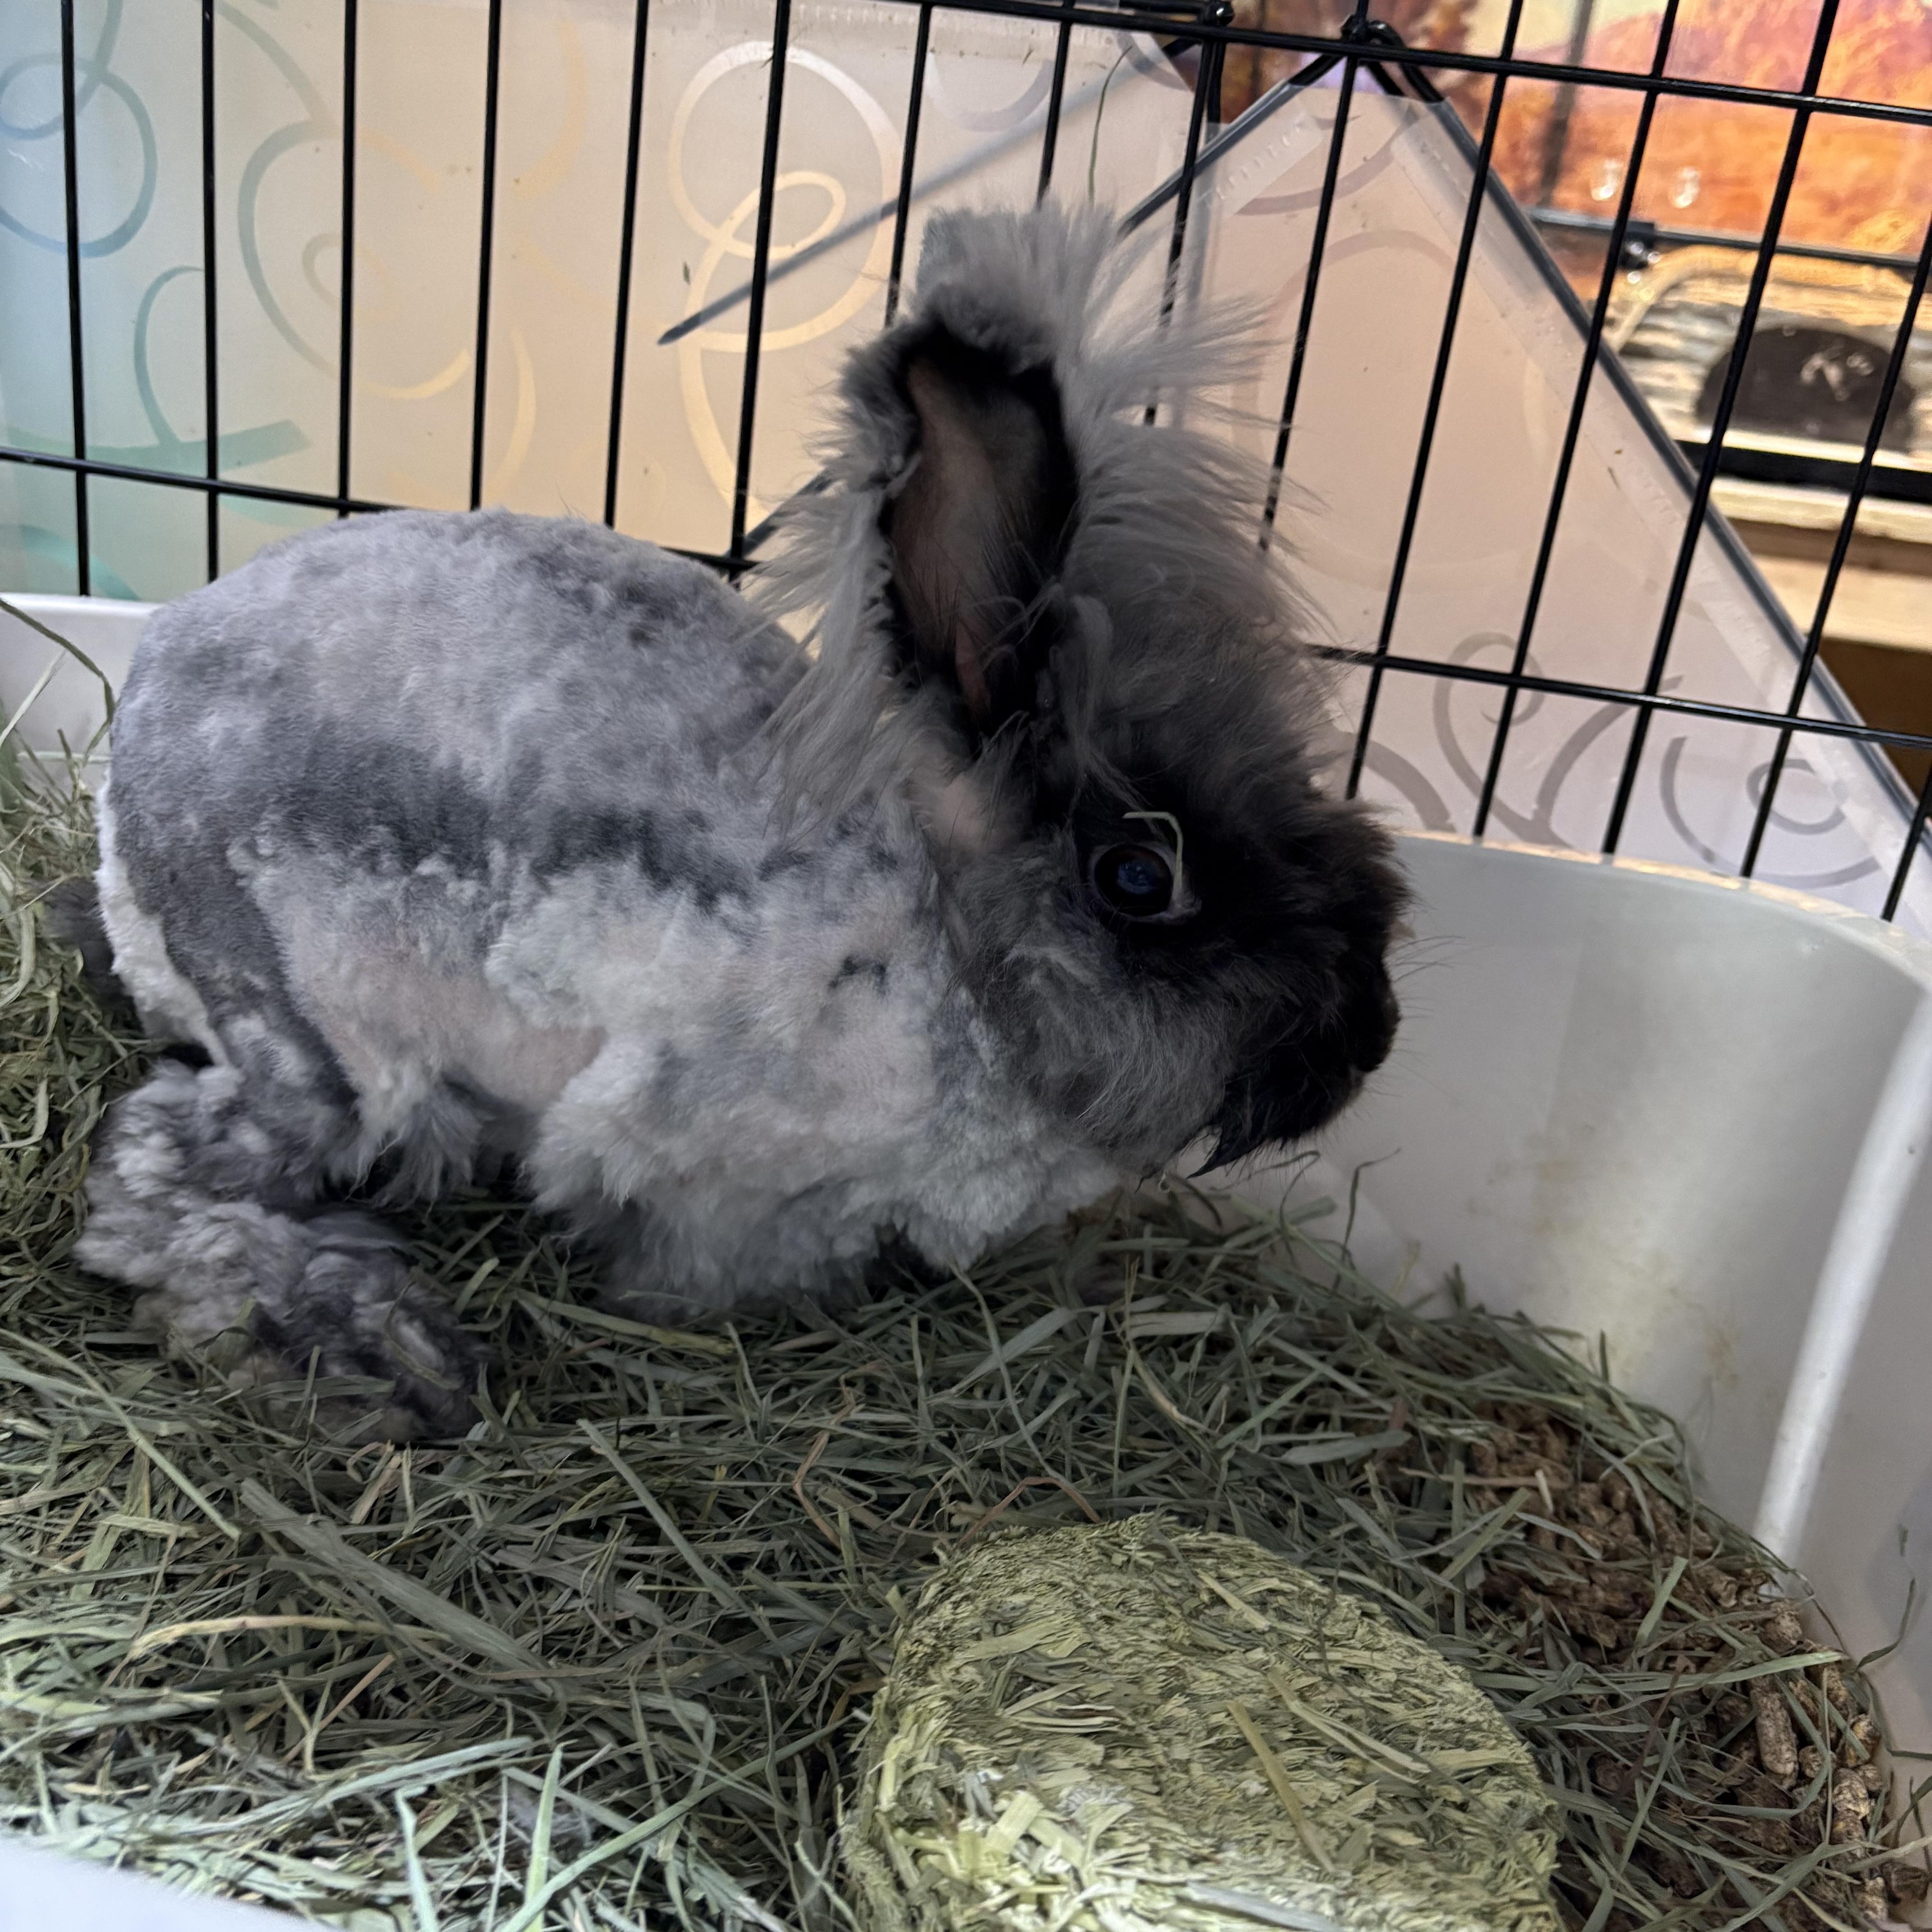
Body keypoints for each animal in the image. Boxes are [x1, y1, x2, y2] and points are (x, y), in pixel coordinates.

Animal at [68, 204, 1406, 1440]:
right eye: (1139, 876)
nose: (1369, 1041)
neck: (948, 950)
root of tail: (131, 751)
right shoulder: (704, 1159)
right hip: (323, 1052)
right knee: (148, 1176)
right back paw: (377, 1353)